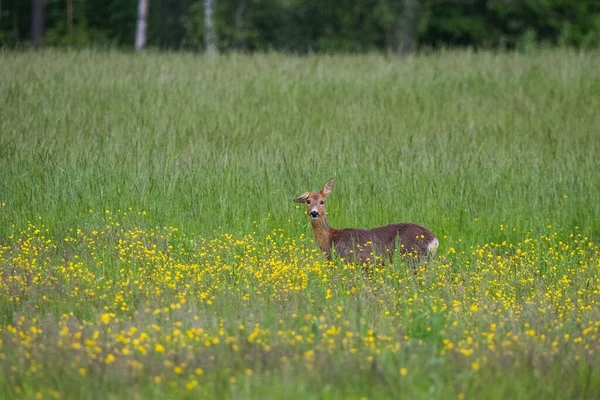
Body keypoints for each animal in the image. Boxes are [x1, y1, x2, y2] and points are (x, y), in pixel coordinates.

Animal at [294, 180, 438, 264]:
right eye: (308, 201)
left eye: (322, 201)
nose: (314, 213)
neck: (330, 238)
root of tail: (434, 241)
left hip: (413, 257)